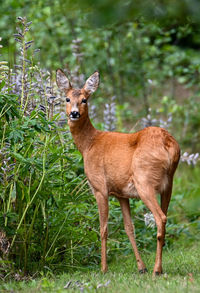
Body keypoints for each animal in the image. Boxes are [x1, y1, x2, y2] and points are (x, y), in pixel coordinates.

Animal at [55, 68, 180, 274]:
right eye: (66, 98)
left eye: (84, 100)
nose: (74, 113)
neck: (88, 145)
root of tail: (169, 144)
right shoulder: (121, 193)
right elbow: (129, 227)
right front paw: (141, 267)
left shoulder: (99, 187)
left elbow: (103, 228)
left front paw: (103, 268)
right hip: (169, 183)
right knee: (165, 215)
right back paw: (156, 267)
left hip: (144, 180)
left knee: (160, 217)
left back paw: (157, 269)